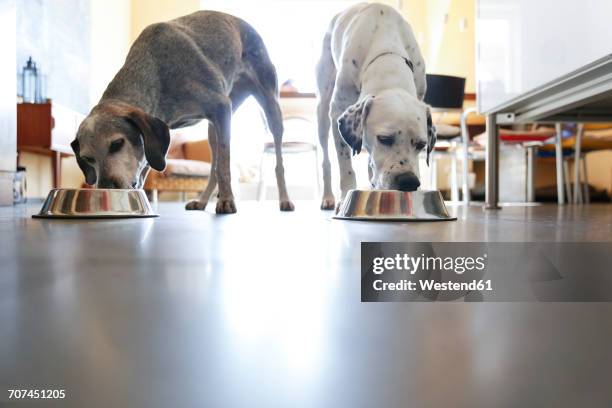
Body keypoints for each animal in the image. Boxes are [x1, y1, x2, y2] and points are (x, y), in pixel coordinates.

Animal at [316, 1, 436, 209]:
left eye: (421, 144)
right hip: (323, 112)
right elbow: (346, 166)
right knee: (326, 160)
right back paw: (328, 197)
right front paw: (345, 196)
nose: (409, 182)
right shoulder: (338, 112)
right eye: (385, 139)